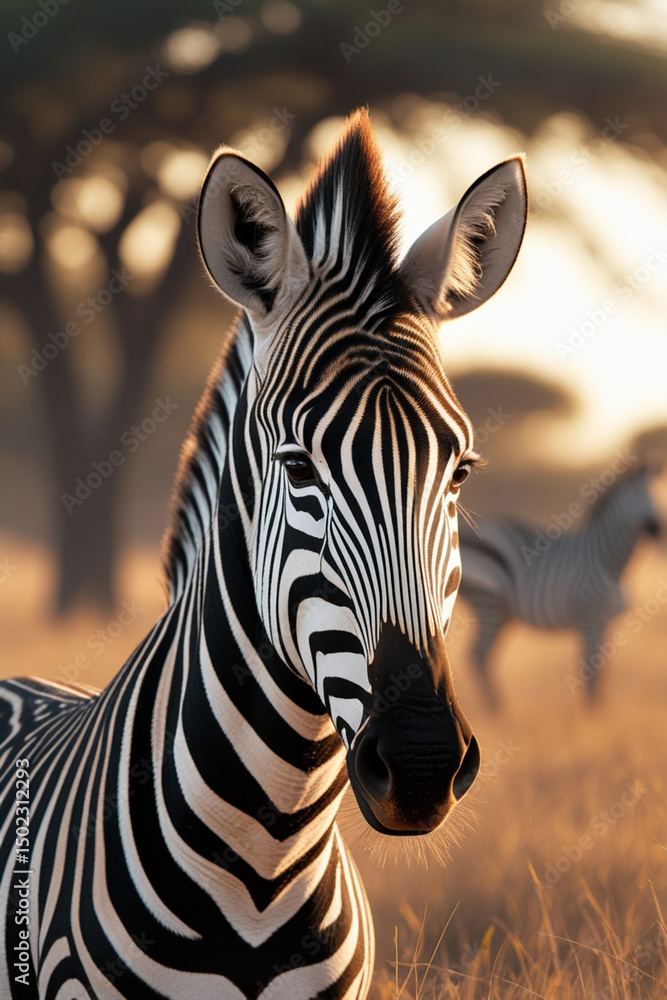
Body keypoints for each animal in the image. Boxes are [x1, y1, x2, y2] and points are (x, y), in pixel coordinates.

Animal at [458, 463, 662, 706]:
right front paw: (591, 711)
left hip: (500, 613)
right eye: (633, 496)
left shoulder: (604, 621)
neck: (607, 560)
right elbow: (589, 668)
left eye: (654, 493)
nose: (656, 530)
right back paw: (497, 710)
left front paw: (600, 710)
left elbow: (601, 671)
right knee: (478, 654)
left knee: (482, 656)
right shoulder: (589, 615)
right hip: (488, 602)